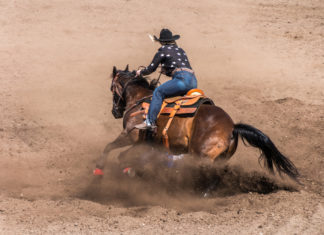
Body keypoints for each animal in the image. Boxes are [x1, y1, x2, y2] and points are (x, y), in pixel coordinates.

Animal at [93, 65, 298, 181]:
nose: (115, 112)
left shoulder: (130, 136)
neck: (141, 100)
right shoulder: (145, 143)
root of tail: (232, 127)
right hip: (218, 159)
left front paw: (100, 169)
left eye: (111, 88)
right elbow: (127, 156)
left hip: (201, 156)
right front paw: (131, 170)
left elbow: (111, 148)